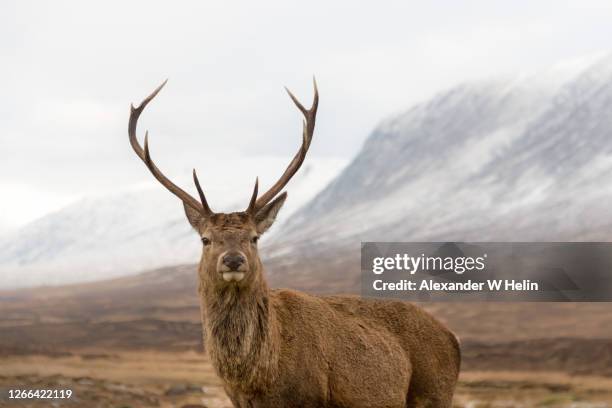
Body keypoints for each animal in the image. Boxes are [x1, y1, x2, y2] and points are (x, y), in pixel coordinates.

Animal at [130, 78, 464, 406]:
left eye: (254, 238)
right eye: (205, 239)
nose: (234, 260)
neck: (258, 377)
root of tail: (454, 340)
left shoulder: (309, 397)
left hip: (433, 393)